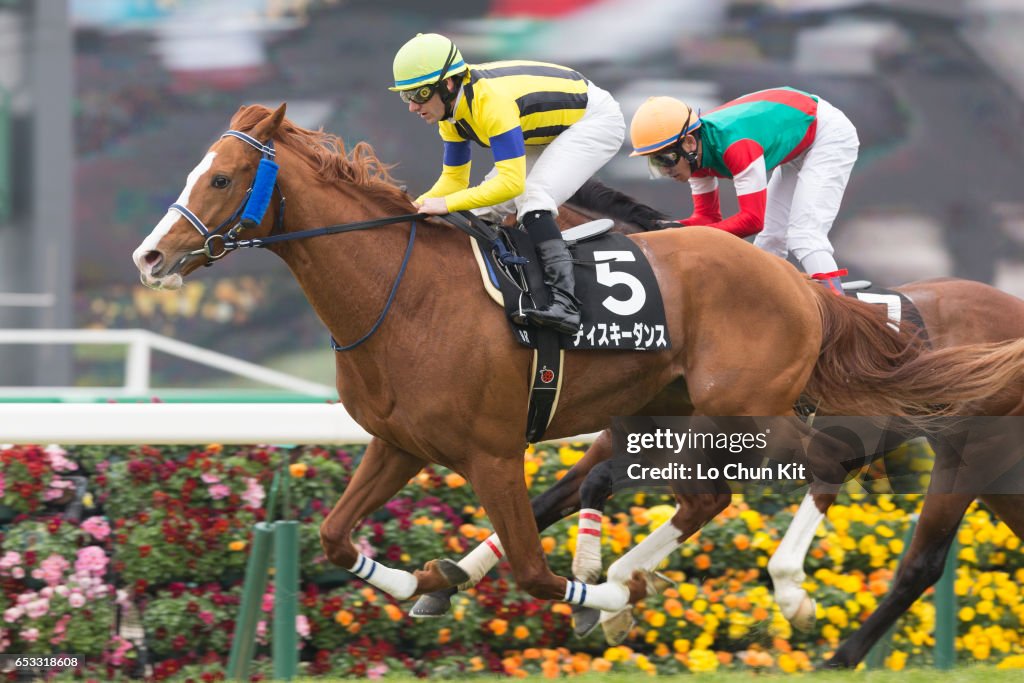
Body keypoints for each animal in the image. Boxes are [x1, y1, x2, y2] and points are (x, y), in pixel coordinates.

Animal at [134, 102, 1024, 618]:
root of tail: (798, 287)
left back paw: (745, 583)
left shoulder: (492, 451)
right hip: (681, 406)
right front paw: (421, 584)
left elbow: (534, 570)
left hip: (739, 409)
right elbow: (332, 534)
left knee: (772, 478)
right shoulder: (399, 442)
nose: (150, 257)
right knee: (704, 490)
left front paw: (599, 593)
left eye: (221, 178)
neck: (405, 294)